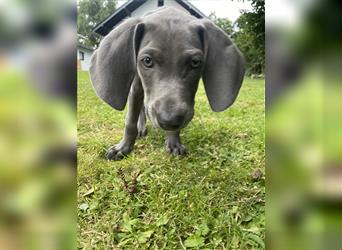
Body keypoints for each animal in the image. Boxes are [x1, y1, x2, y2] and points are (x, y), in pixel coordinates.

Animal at [90, 7, 246, 161]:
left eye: (195, 62)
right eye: (147, 60)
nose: (169, 121)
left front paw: (174, 142)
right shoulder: (136, 88)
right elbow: (130, 121)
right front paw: (123, 148)